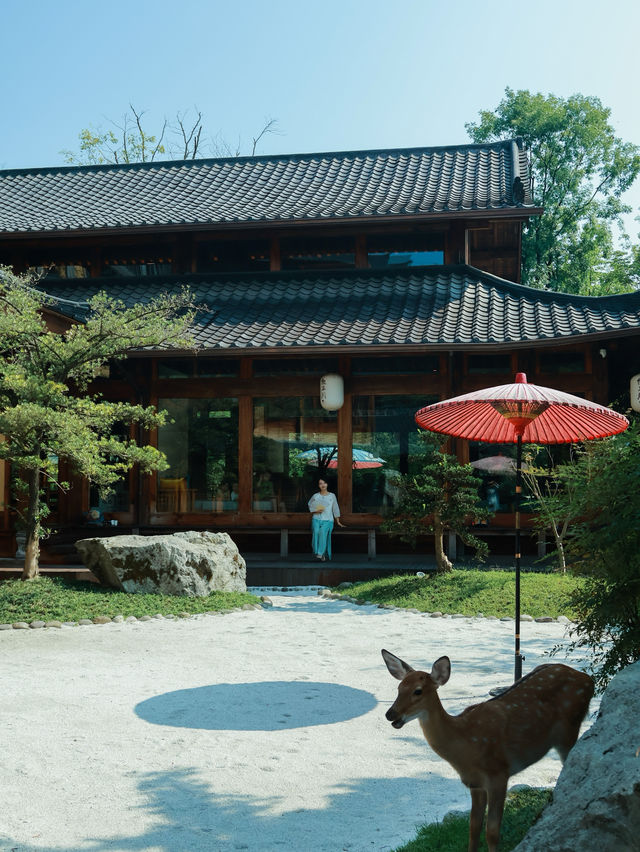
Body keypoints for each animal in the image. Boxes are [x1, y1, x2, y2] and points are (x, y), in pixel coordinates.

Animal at [380, 648, 596, 848]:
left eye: (418, 691)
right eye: (399, 688)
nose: (390, 714)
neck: (466, 744)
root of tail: (589, 679)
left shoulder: (499, 774)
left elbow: (492, 832)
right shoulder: (475, 784)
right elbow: (473, 828)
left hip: (569, 729)